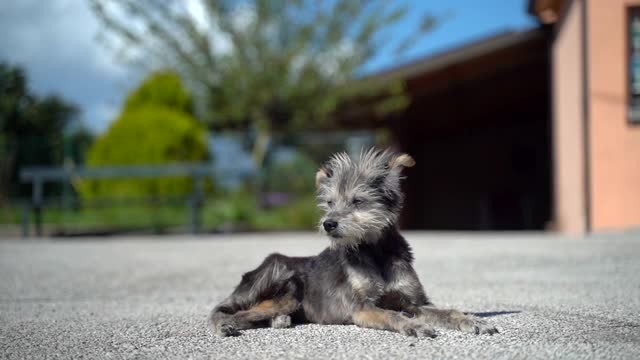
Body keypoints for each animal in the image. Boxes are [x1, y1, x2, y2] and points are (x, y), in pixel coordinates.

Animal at [208, 148, 498, 338]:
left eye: (358, 201)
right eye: (329, 203)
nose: (328, 224)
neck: (375, 251)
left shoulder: (414, 302)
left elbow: (448, 311)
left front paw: (472, 321)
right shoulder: (362, 307)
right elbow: (392, 315)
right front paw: (413, 326)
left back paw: (279, 320)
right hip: (280, 276)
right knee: (227, 312)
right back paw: (227, 325)